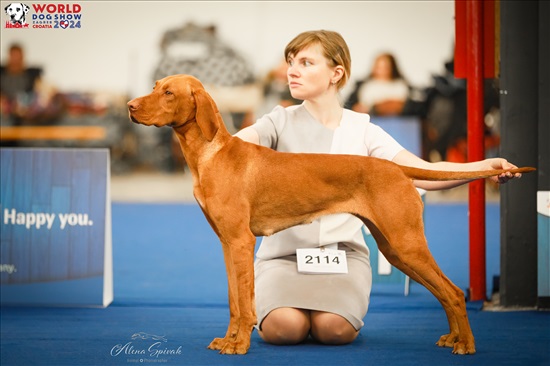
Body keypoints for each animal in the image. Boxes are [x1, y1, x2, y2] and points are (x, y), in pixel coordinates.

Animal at [128, 73, 536, 354]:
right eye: (155, 85)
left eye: (168, 92)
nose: (130, 106)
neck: (212, 156)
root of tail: (396, 168)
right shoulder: (228, 244)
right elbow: (233, 301)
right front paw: (227, 340)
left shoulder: (241, 241)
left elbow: (245, 304)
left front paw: (239, 345)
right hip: (395, 249)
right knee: (444, 293)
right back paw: (454, 338)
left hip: (406, 243)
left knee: (452, 291)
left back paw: (466, 344)